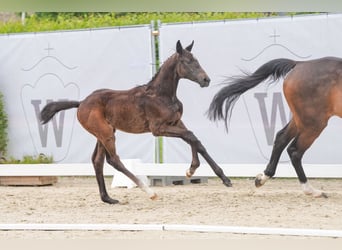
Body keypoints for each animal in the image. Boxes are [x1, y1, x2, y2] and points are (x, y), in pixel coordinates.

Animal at [40, 40, 232, 203]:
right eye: (186, 61)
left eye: (196, 60)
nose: (206, 80)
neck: (162, 95)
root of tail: (81, 103)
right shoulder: (158, 129)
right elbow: (191, 137)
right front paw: (196, 170)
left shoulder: (176, 123)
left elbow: (194, 140)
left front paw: (203, 173)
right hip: (105, 133)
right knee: (113, 160)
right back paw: (149, 192)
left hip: (103, 134)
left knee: (97, 161)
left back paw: (108, 199)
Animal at [208, 57, 342, 199]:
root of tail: (300, 64)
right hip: (314, 123)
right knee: (294, 151)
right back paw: (311, 190)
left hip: (301, 119)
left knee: (281, 139)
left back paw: (262, 178)